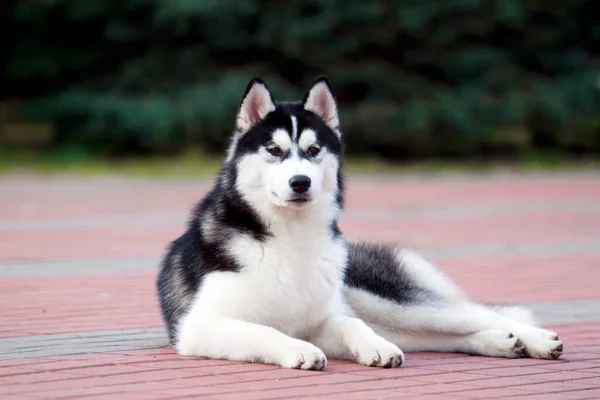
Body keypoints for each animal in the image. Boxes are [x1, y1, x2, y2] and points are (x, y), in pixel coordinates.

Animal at [156, 76, 564, 370]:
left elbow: (351, 323)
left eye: (314, 150)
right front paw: (297, 350)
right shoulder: (199, 326)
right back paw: (498, 341)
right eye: (274, 150)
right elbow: (263, 330)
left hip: (388, 302)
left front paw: (375, 346)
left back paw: (536, 339)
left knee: (471, 314)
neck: (290, 238)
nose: (300, 182)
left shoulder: (324, 318)